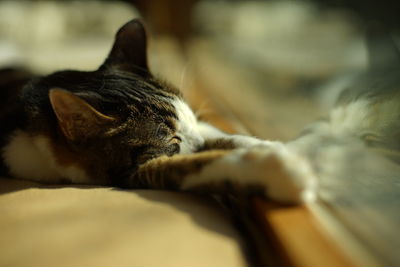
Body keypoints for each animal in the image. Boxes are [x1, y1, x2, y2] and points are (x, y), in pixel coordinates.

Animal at [0, 19, 314, 203]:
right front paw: (278, 170)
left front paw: (271, 146)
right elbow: (184, 167)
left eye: (190, 119)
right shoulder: (129, 173)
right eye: (172, 139)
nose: (199, 143)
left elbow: (220, 132)